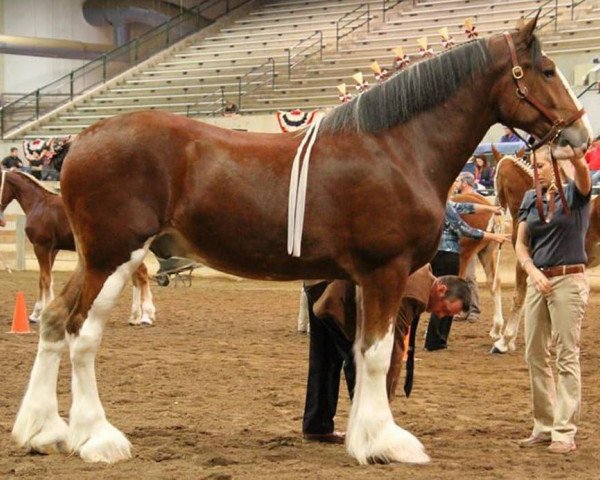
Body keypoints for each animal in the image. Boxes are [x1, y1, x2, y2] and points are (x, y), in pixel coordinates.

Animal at [0, 172, 155, 326]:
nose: (1, 221)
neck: (39, 205)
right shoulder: (52, 250)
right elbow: (45, 279)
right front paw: (38, 314)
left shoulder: (41, 247)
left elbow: (45, 279)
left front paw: (40, 313)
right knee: (137, 277)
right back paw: (135, 317)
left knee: (141, 274)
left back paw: (146, 317)